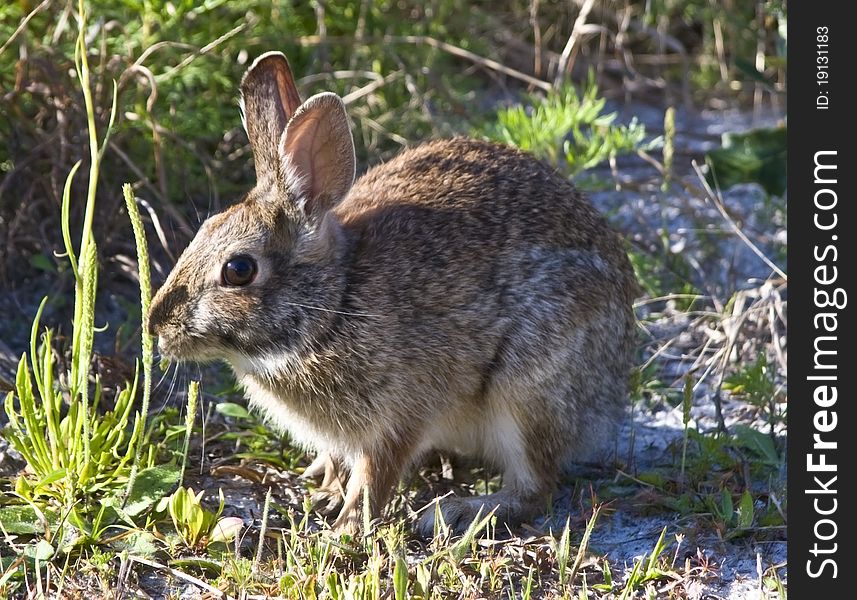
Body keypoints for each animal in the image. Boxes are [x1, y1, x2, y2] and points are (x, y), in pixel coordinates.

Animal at [147, 51, 640, 536]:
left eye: (239, 270)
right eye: (204, 230)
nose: (158, 327)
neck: (335, 304)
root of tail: (610, 397)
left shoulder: (400, 415)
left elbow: (376, 475)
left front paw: (345, 528)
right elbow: (340, 462)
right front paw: (324, 490)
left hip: (526, 391)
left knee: (537, 487)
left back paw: (459, 512)